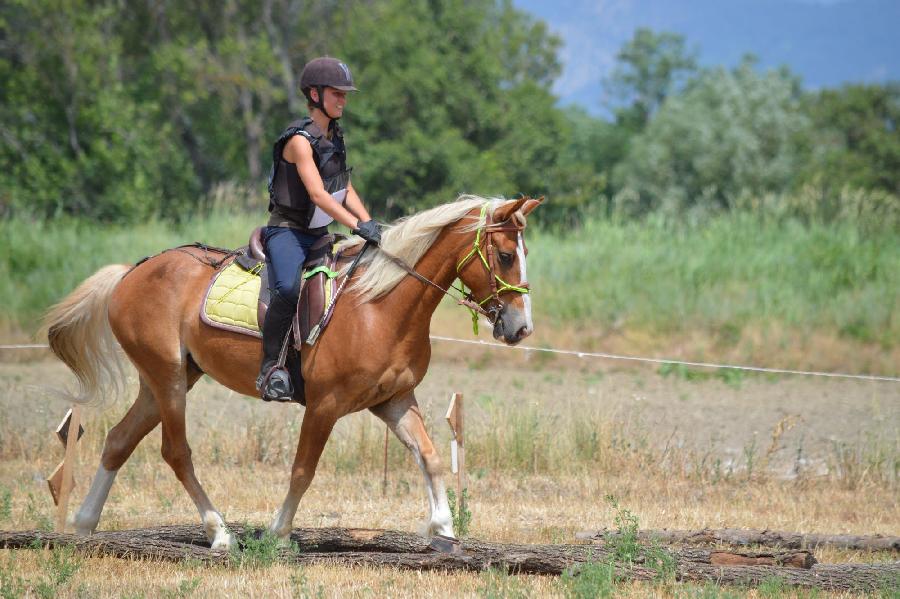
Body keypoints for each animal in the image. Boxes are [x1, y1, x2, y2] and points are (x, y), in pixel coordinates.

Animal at [44, 196, 540, 548]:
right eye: (504, 256)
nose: (521, 328)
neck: (380, 306)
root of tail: (131, 273)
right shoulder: (325, 405)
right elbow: (303, 470)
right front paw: (278, 533)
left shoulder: (394, 401)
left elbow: (432, 456)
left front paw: (445, 529)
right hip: (168, 379)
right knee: (175, 452)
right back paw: (220, 534)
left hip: (168, 378)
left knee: (118, 441)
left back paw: (84, 526)